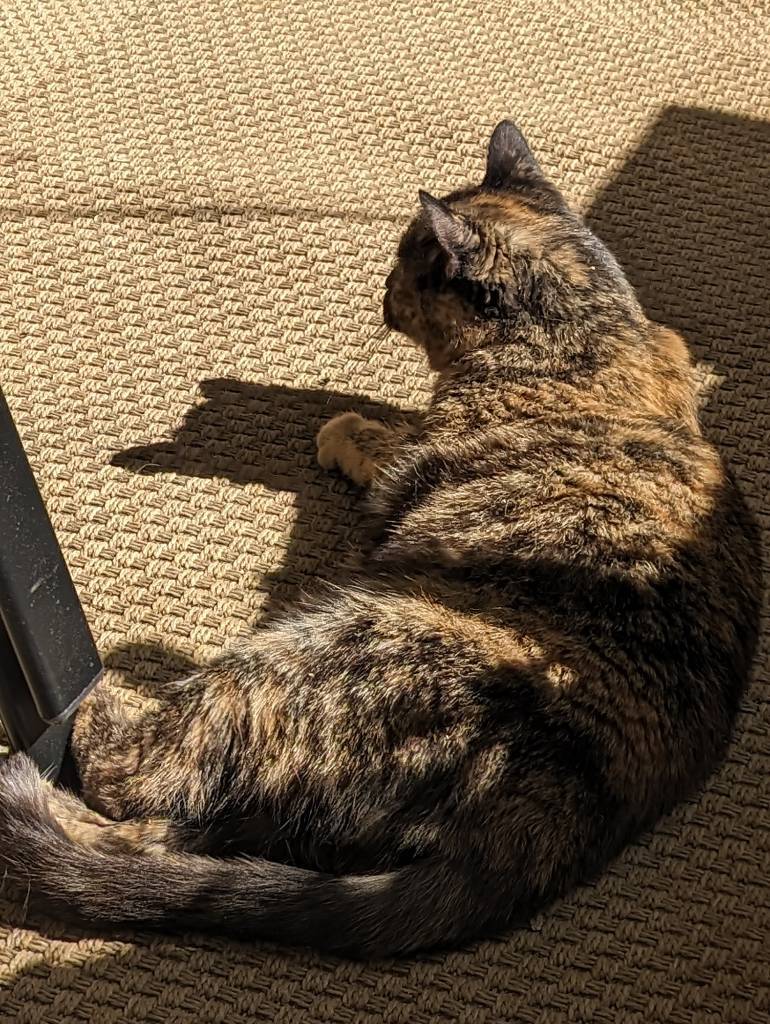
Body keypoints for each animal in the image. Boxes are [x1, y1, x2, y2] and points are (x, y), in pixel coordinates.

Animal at [0, 121, 757, 958]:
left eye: (404, 262)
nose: (381, 294)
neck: (585, 325)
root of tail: (543, 824)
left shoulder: (417, 458)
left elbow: (384, 435)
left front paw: (341, 430)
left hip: (322, 643)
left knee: (133, 778)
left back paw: (82, 709)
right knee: (179, 841)